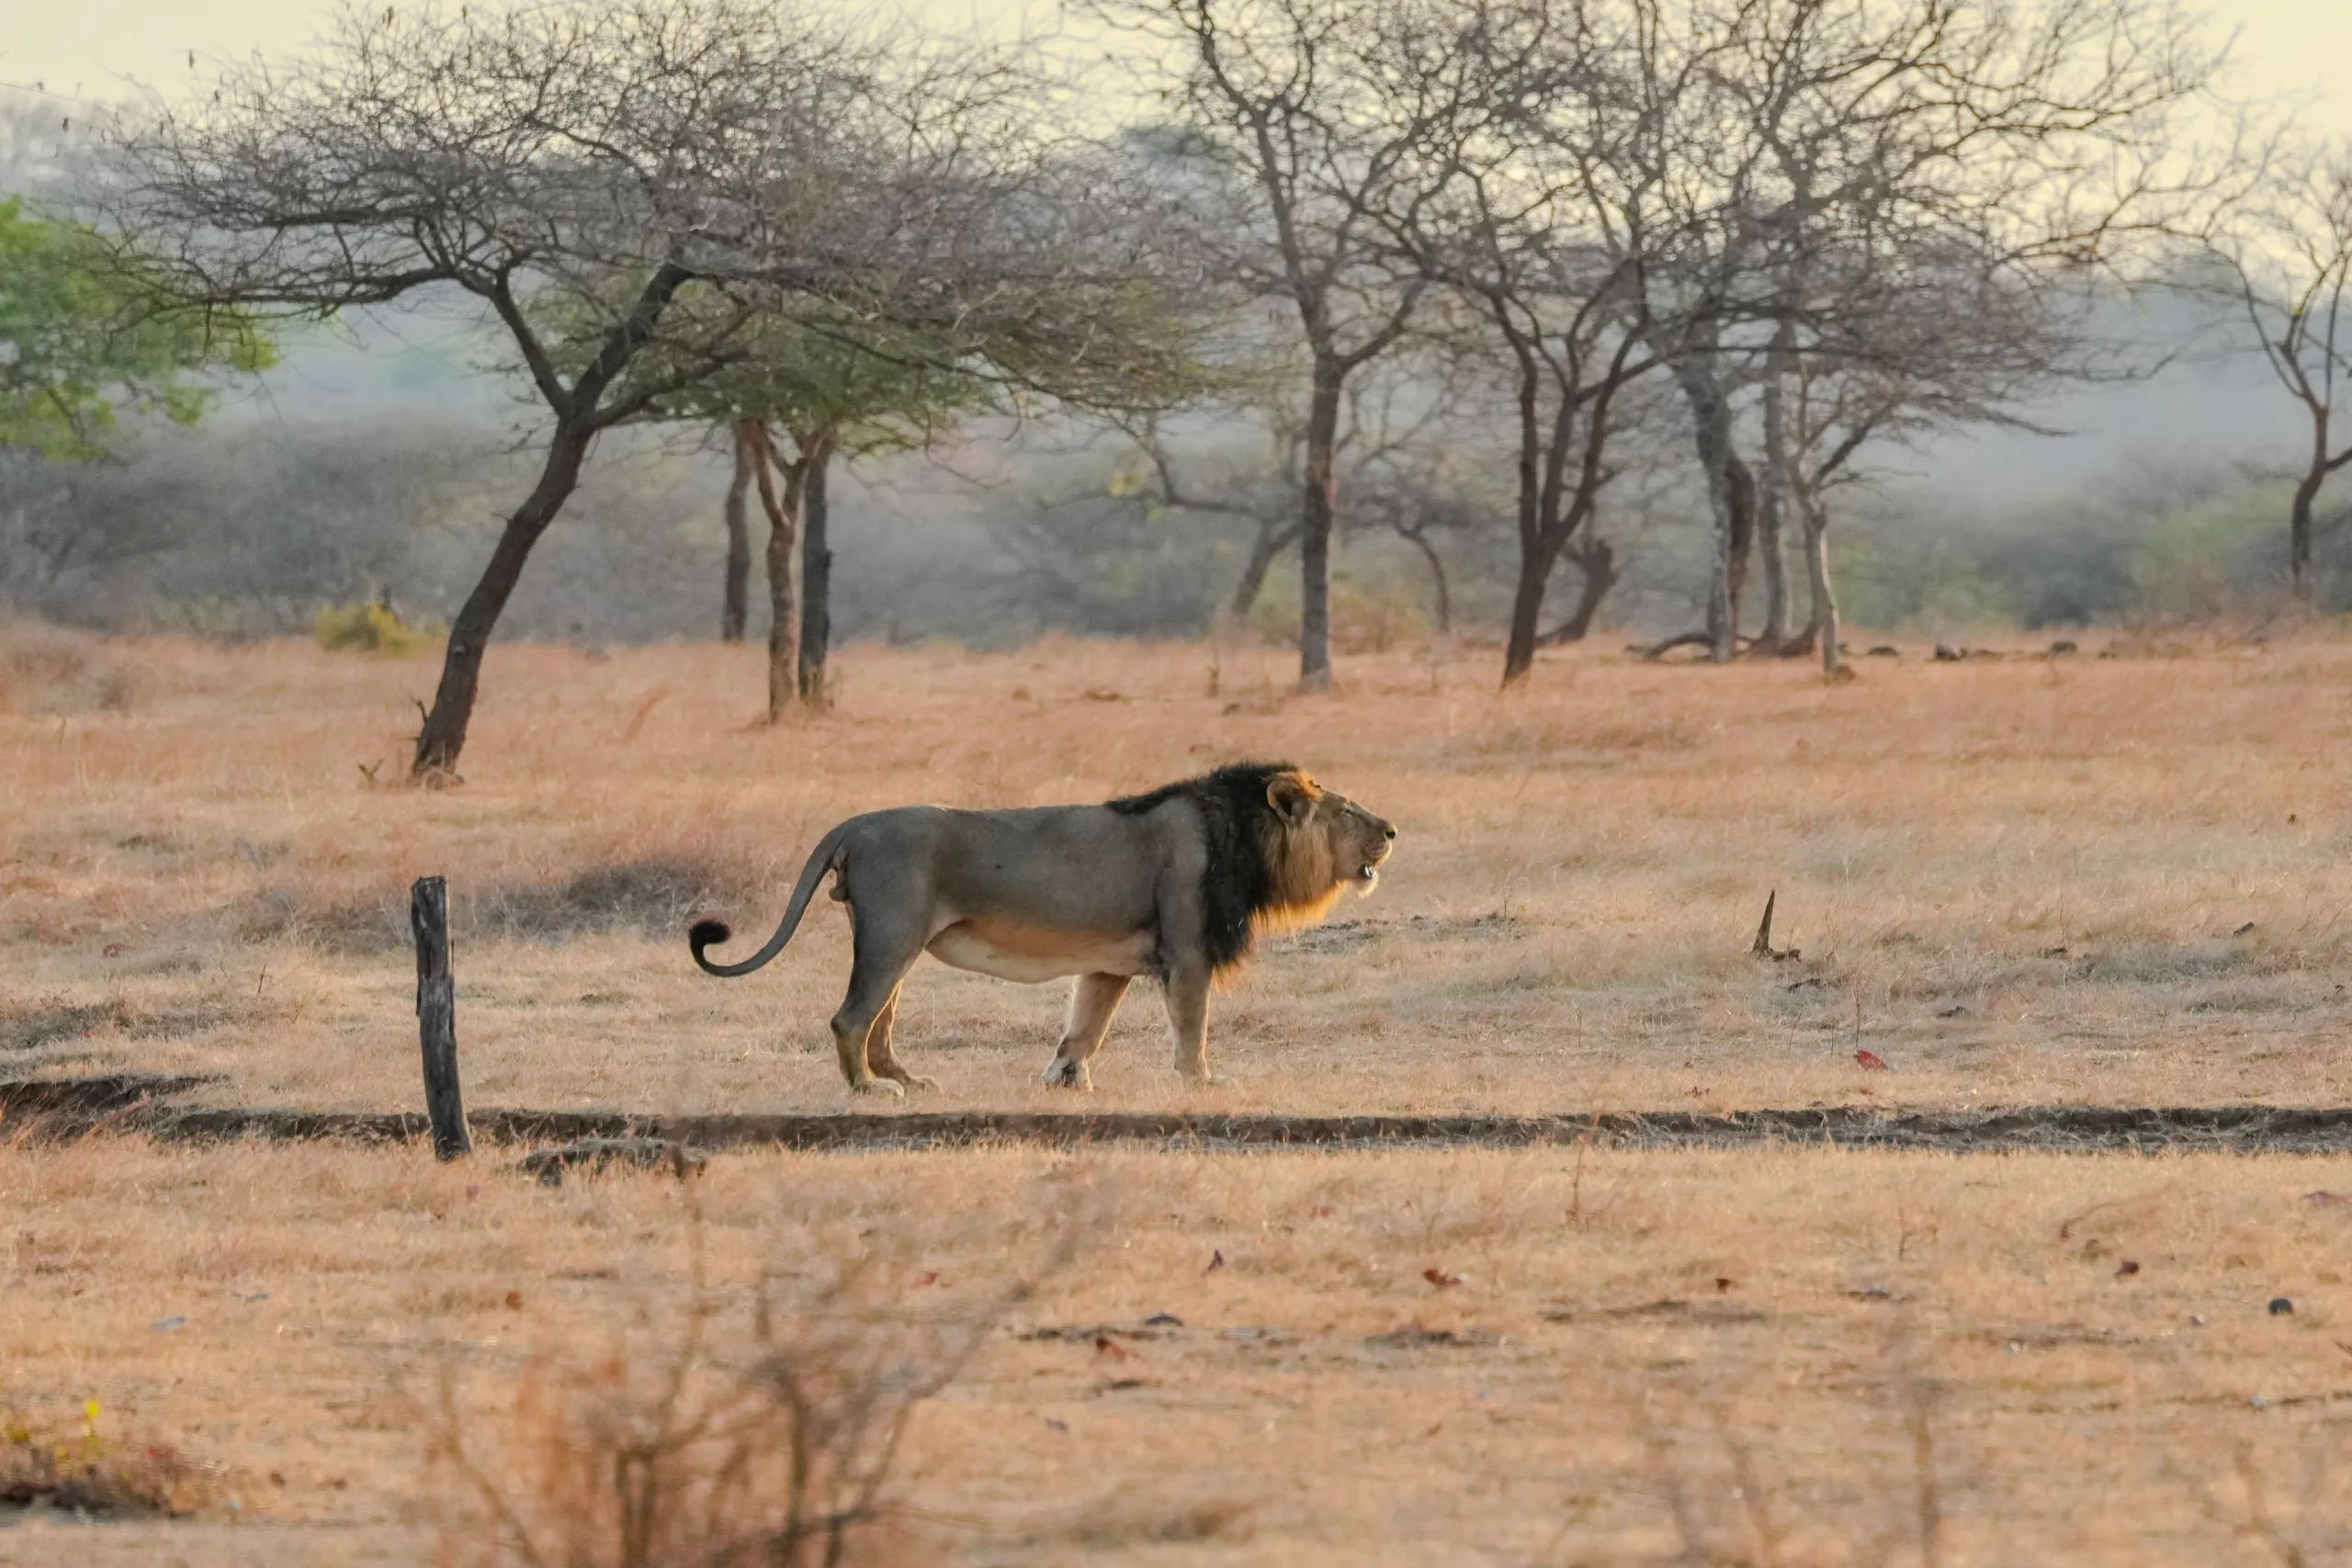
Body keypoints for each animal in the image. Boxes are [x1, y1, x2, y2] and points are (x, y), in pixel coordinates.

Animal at [688, 761, 1395, 1095]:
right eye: (1347, 810)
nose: (1391, 830)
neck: (1244, 838)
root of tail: (856, 822)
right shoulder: (1189, 949)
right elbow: (1192, 1026)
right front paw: (1203, 1083)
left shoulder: (1111, 960)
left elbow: (1086, 1024)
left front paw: (1066, 1080)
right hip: (893, 934)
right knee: (850, 1019)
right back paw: (868, 1090)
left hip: (896, 941)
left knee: (878, 1023)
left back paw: (909, 1082)